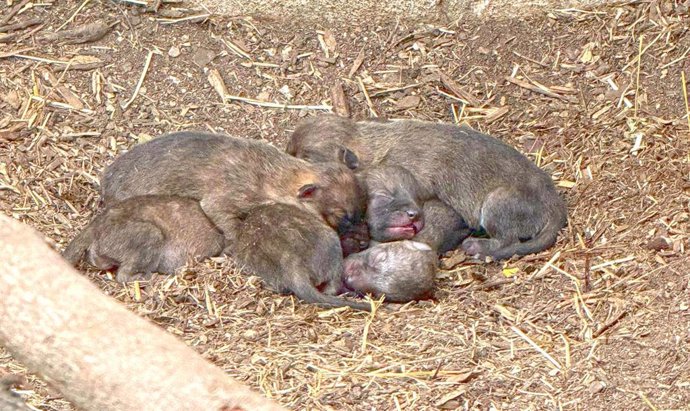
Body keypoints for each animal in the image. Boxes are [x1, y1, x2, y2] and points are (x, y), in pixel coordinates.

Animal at [284, 114, 564, 260]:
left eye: (305, 157)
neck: (373, 147)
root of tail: (556, 208)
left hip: (497, 203)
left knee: (507, 239)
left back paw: (477, 246)